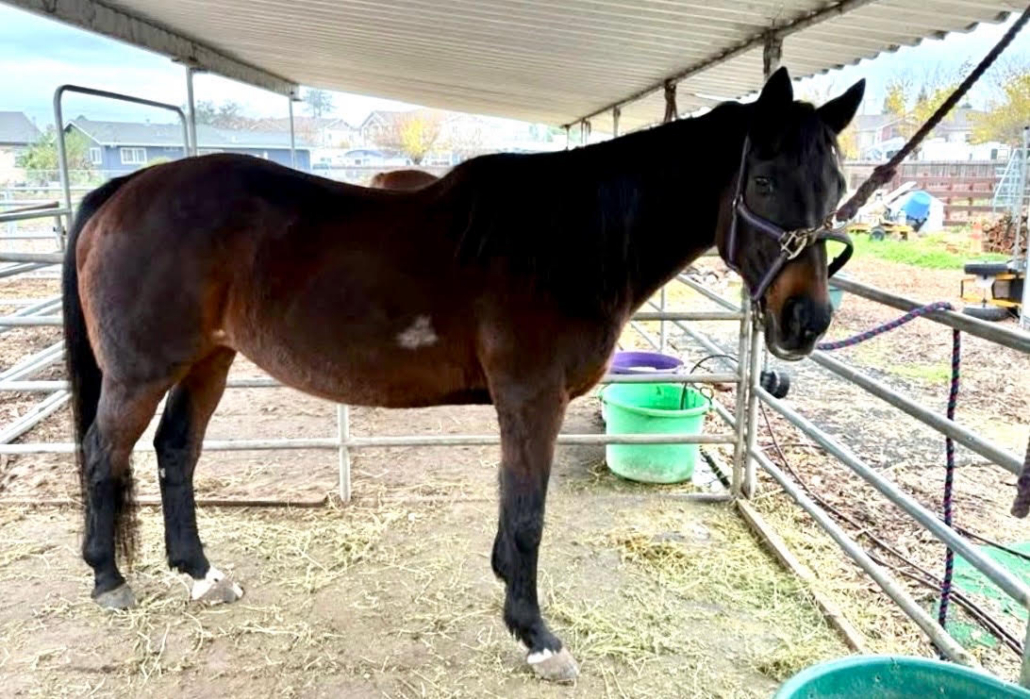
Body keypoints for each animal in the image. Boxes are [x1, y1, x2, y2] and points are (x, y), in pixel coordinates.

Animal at [62, 67, 862, 682]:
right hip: (139, 373)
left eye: (836, 182)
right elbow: (530, 513)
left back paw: (199, 573)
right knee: (104, 455)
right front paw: (537, 636)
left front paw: (512, 597)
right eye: (763, 181)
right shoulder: (532, 400)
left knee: (175, 453)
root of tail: (126, 188)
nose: (806, 321)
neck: (571, 237)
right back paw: (107, 578)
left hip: (209, 360)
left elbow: (514, 509)